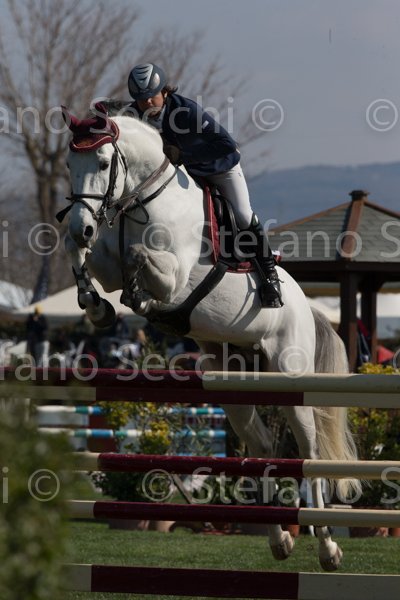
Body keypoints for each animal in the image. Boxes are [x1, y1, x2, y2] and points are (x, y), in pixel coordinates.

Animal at [59, 102, 361, 571]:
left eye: (105, 163)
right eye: (69, 166)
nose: (81, 226)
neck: (142, 198)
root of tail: (308, 309)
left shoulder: (175, 277)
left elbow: (141, 258)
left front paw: (139, 298)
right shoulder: (104, 259)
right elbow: (88, 259)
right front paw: (96, 304)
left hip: (291, 379)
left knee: (309, 456)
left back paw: (328, 549)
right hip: (234, 381)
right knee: (261, 446)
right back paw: (279, 539)